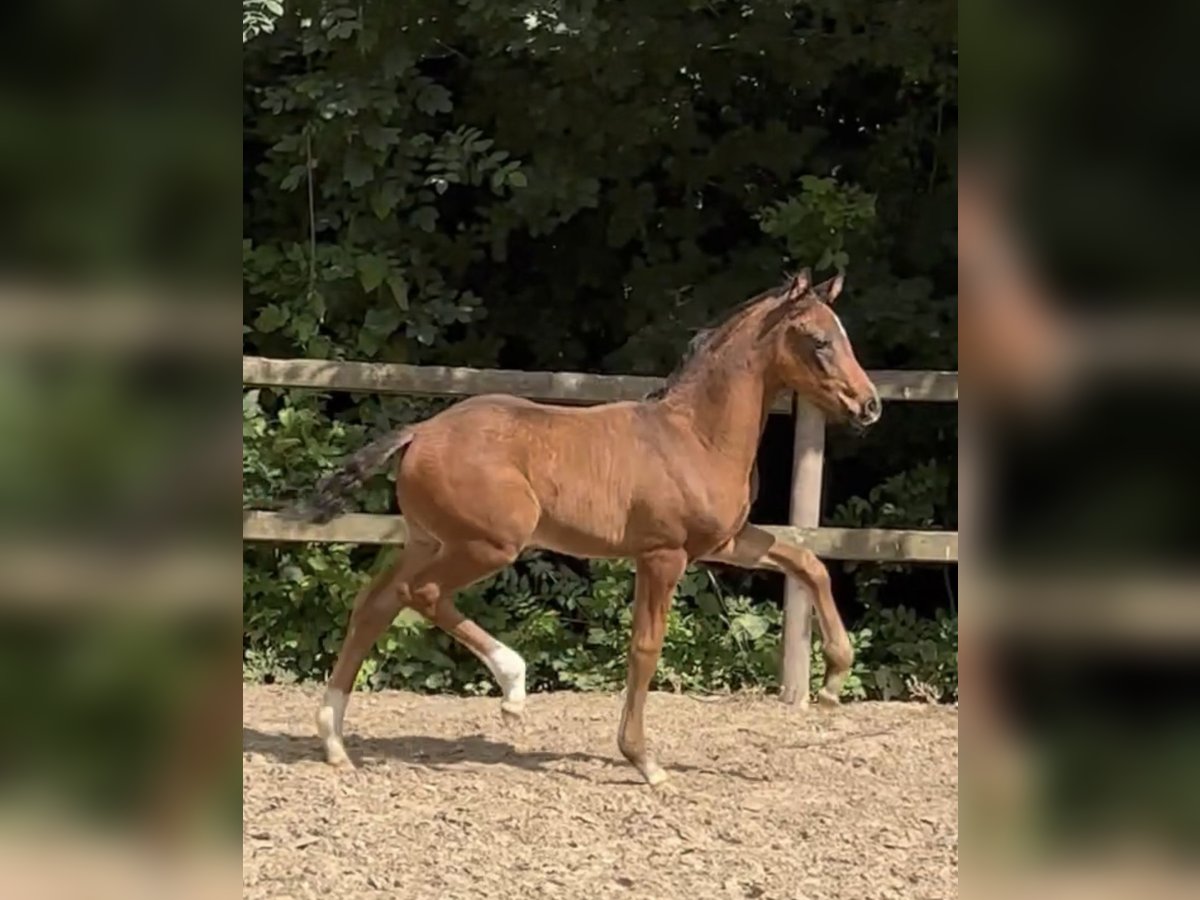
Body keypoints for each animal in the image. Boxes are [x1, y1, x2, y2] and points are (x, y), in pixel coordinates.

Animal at [297, 270, 883, 787]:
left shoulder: (723, 541)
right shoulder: (663, 555)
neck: (694, 436)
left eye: (844, 336)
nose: (869, 405)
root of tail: (420, 432)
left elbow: (808, 563)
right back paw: (512, 687)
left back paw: (334, 742)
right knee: (421, 593)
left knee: (375, 603)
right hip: (489, 545)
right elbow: (645, 647)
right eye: (819, 341)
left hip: (428, 540)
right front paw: (644, 761)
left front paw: (833, 683)